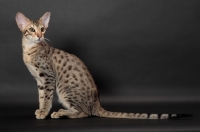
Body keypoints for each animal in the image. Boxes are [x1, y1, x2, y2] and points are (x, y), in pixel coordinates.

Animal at [15, 12, 191, 119]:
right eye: (32, 29)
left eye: (43, 29)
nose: (39, 36)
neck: (29, 50)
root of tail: (97, 104)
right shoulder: (40, 81)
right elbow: (41, 97)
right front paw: (40, 110)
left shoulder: (48, 77)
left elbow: (46, 98)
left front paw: (44, 112)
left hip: (65, 89)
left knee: (84, 113)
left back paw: (61, 113)